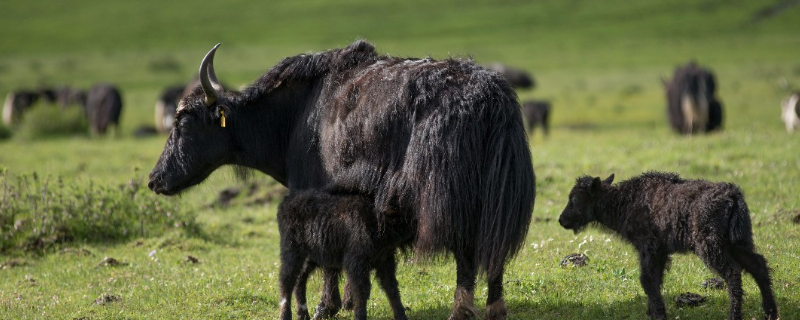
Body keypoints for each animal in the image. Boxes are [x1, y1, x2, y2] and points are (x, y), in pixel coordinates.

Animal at [150, 40, 536, 320]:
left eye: (183, 122)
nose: (155, 180)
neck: (293, 118)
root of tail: (491, 100)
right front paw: (347, 301)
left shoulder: (318, 194)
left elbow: (327, 254)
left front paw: (328, 306)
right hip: (499, 194)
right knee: (493, 249)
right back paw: (496, 309)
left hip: (449, 198)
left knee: (467, 250)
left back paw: (462, 310)